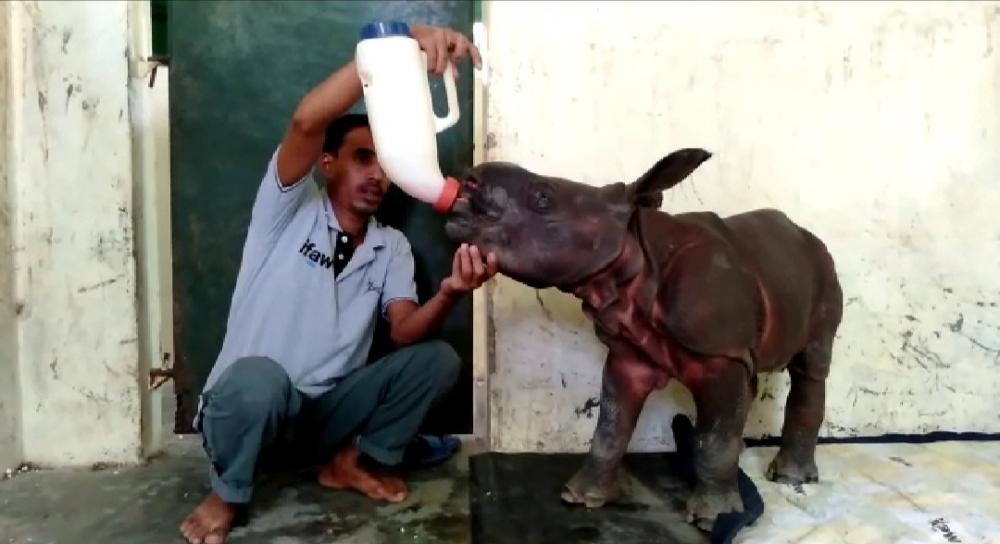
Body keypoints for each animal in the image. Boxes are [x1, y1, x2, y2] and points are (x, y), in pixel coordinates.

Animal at [446, 149, 844, 532]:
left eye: (543, 198)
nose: (469, 179)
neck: (635, 254)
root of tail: (808, 236)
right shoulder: (631, 354)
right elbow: (611, 425)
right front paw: (582, 498)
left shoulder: (719, 355)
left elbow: (714, 440)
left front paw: (716, 518)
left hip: (825, 270)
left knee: (810, 366)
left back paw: (790, 478)